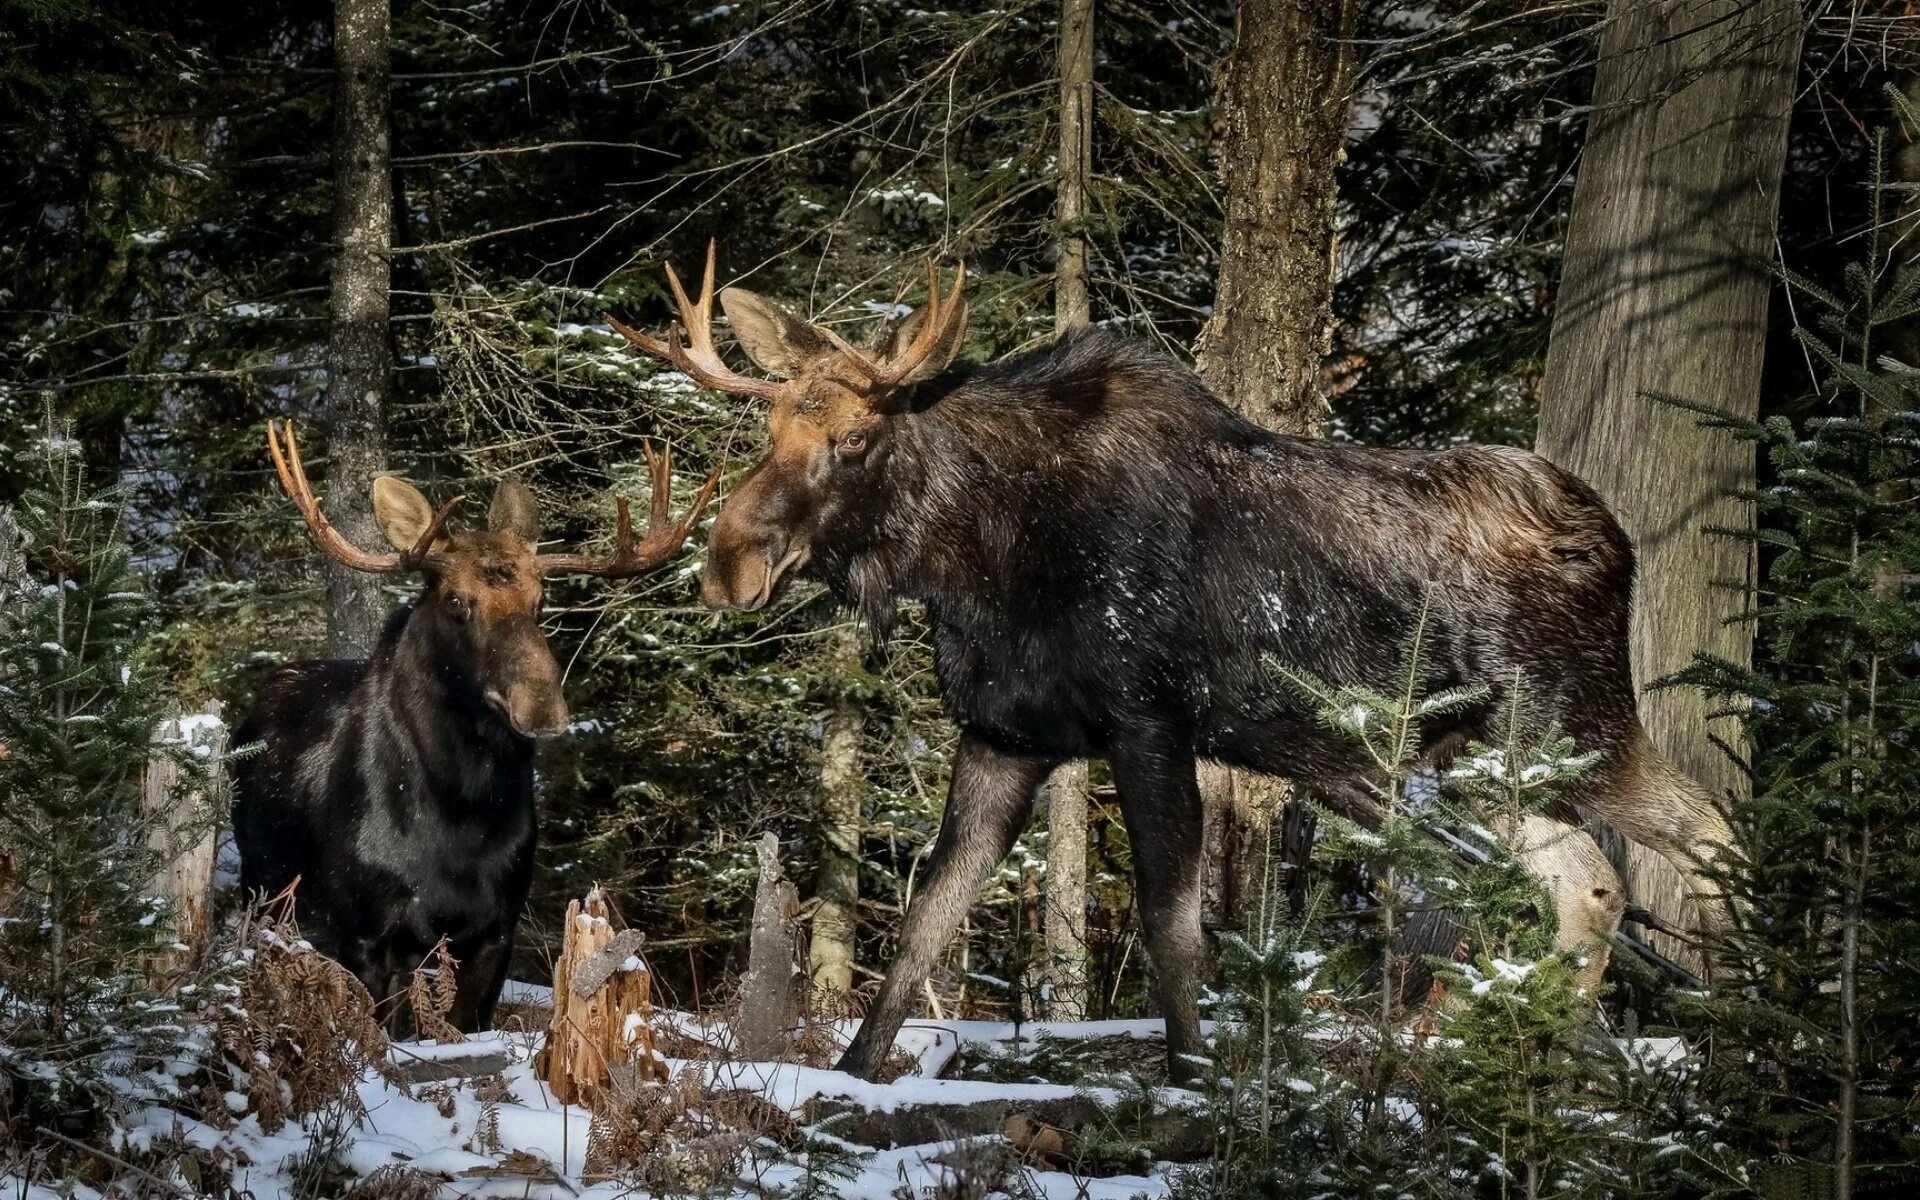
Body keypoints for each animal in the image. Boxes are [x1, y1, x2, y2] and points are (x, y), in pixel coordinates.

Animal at [232, 416, 714, 1021]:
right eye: (457, 600)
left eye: (540, 599)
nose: (543, 707)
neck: (460, 814)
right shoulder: (364, 934)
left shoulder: (496, 930)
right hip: (263, 892)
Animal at [618, 243, 1743, 1075]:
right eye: (768, 424)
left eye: (855, 439)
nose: (726, 563)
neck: (981, 561)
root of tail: (1618, 543)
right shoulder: (1002, 734)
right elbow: (925, 922)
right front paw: (853, 1075)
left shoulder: (1150, 720)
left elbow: (1173, 929)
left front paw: (1192, 1075)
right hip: (1475, 763)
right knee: (1586, 883)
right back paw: (1530, 1053)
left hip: (1572, 721)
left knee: (1705, 830)